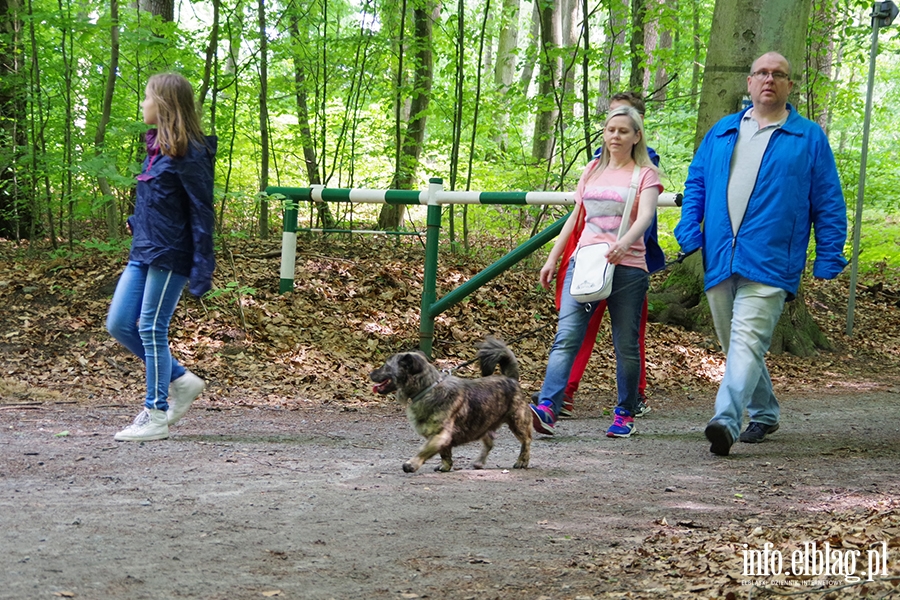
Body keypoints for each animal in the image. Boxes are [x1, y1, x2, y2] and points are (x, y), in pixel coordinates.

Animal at [370, 338, 532, 474]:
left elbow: (424, 450)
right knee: (489, 442)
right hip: (483, 424)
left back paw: (522, 461)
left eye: (386, 366)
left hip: (517, 422)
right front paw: (445, 466)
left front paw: (412, 464)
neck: (427, 388)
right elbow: (445, 454)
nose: (371, 373)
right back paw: (479, 462)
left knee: (526, 441)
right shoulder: (443, 439)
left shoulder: (440, 435)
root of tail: (511, 379)